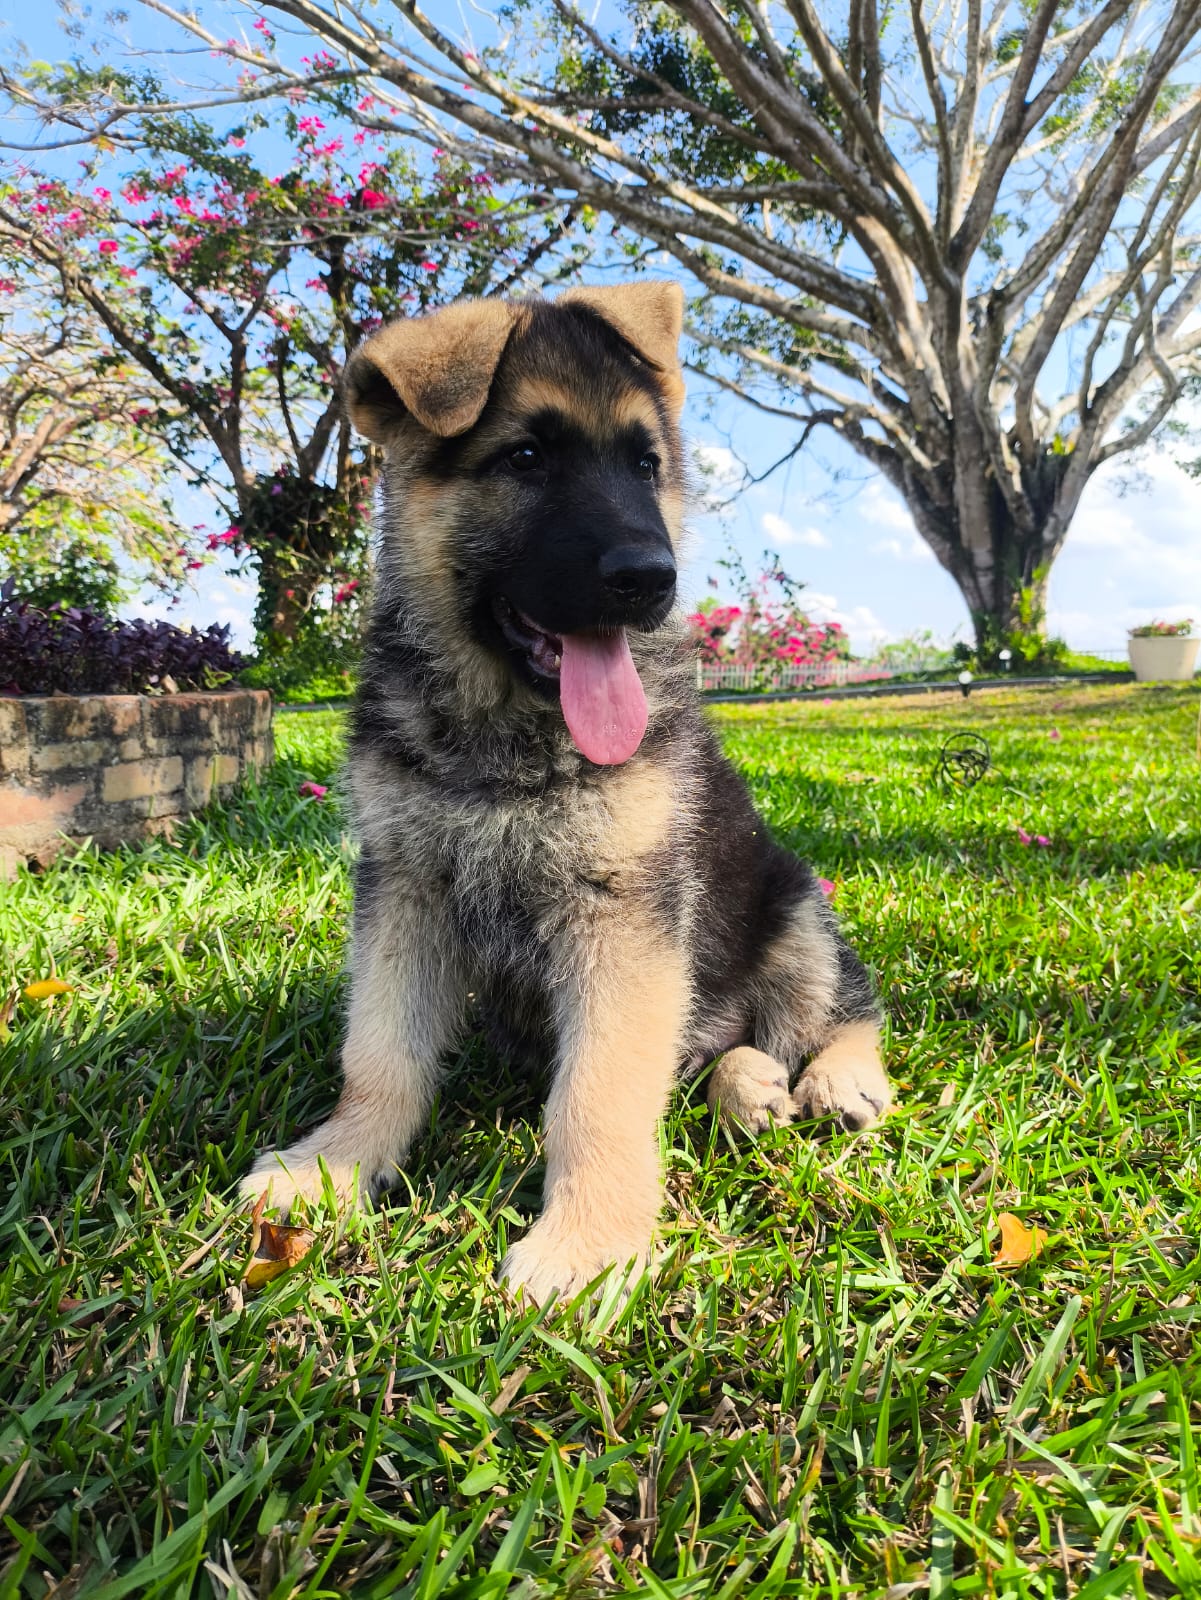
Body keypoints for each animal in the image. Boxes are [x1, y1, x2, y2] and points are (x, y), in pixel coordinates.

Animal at [249, 278, 895, 1299]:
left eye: (644, 465)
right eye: (524, 458)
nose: (650, 578)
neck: (503, 730)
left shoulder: (622, 918)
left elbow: (597, 1094)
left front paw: (588, 1247)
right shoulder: (403, 891)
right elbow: (378, 1052)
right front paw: (336, 1166)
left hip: (792, 905)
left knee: (840, 1005)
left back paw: (833, 1078)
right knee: (711, 1052)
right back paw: (745, 1086)